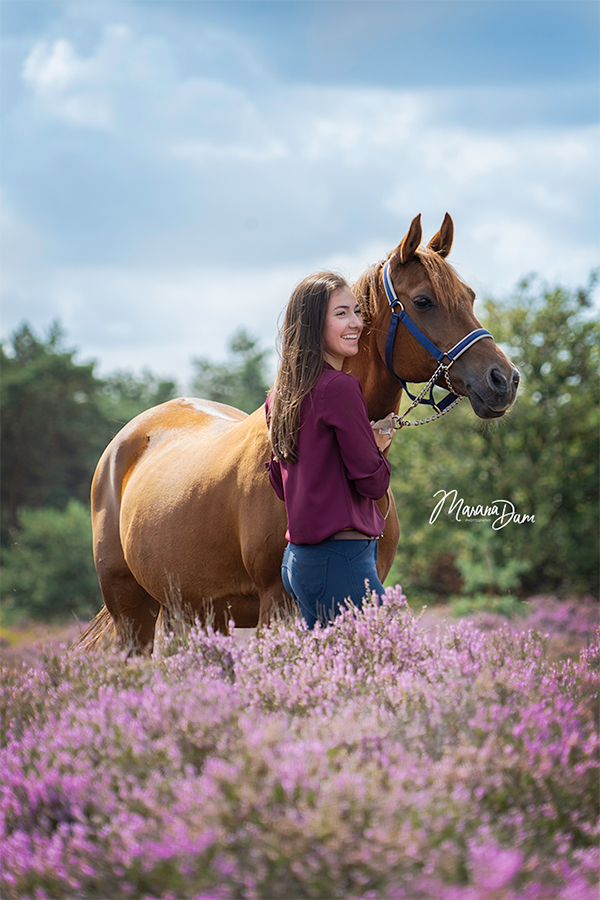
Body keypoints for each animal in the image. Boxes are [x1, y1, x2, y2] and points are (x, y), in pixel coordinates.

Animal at [78, 214, 519, 654]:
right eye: (424, 300)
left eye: (469, 296)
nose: (504, 379)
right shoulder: (278, 605)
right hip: (133, 613)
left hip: (197, 615)